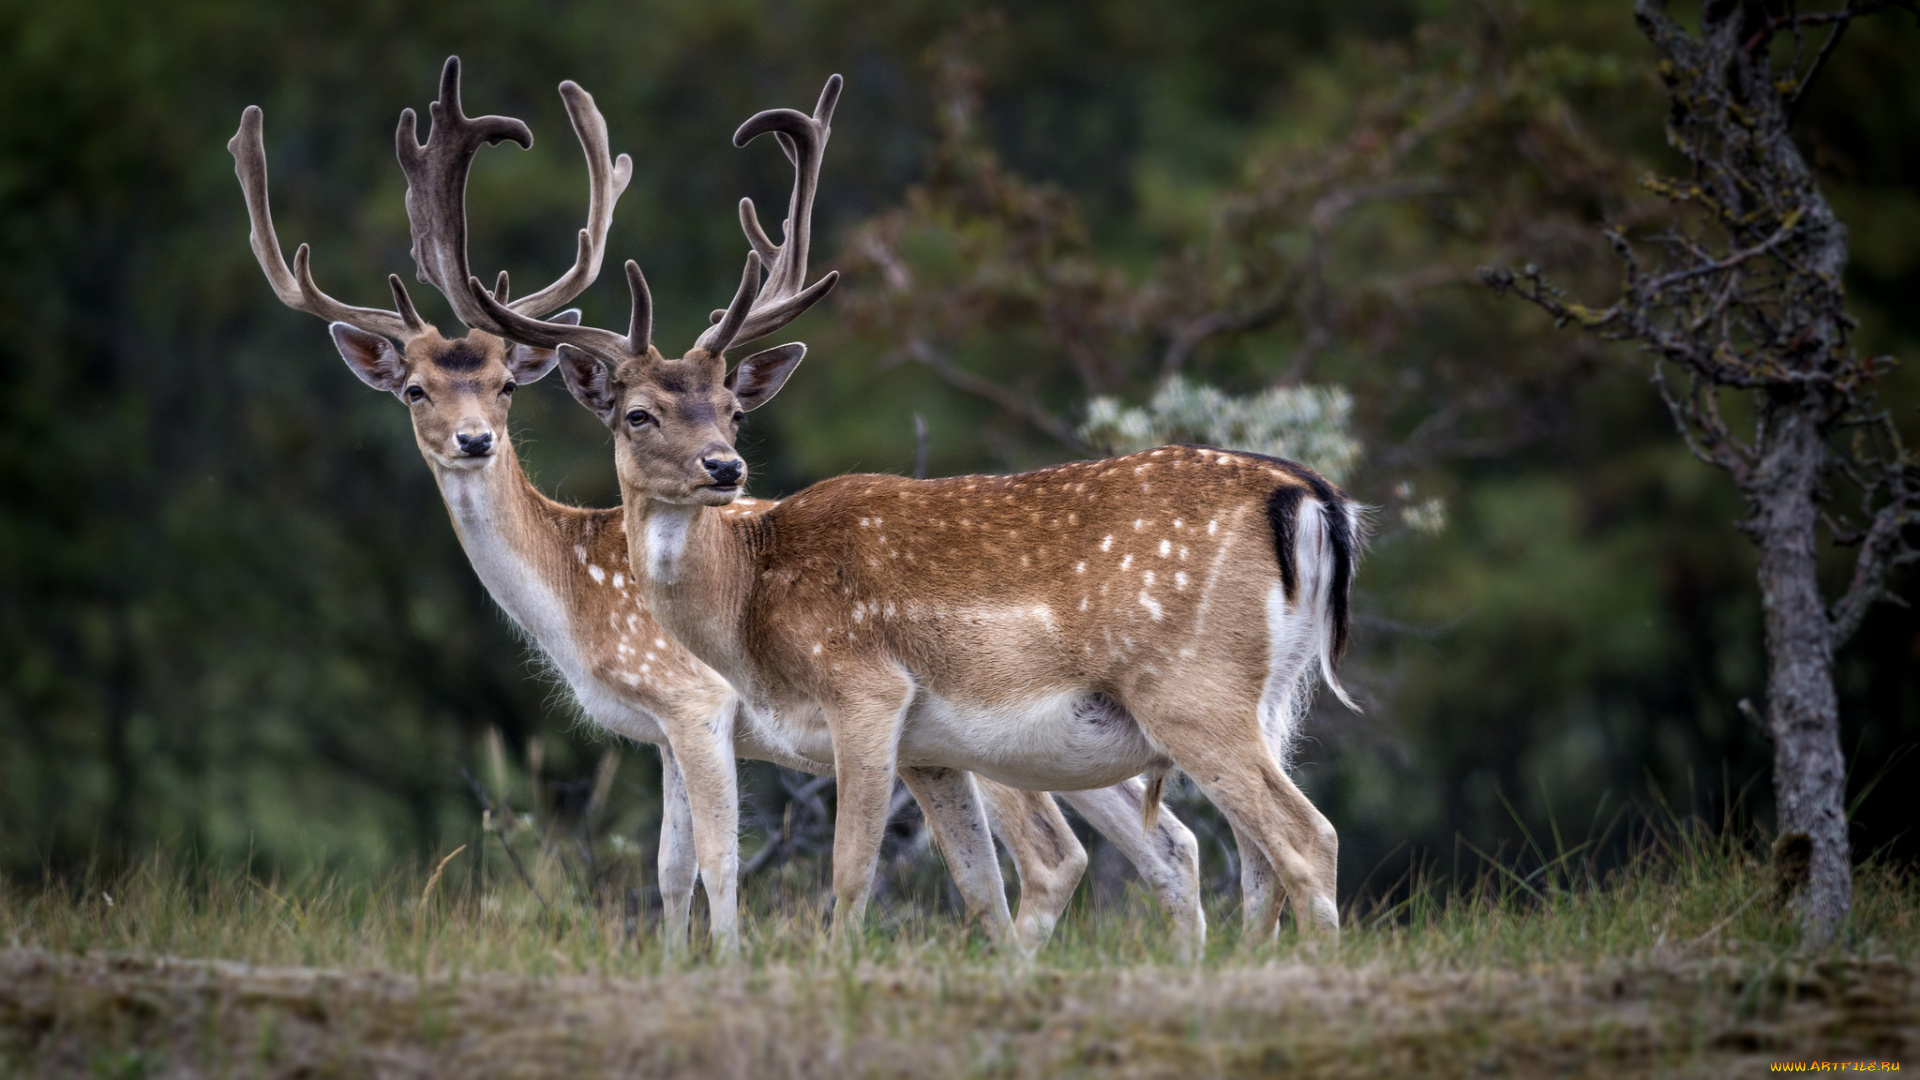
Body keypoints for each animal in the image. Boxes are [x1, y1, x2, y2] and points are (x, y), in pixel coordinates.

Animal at [232, 56, 1205, 949]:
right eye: (416, 391)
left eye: (507, 385)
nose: (474, 441)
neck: (575, 598)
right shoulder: (662, 732)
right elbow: (668, 867)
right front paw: (670, 967)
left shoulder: (694, 702)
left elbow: (716, 860)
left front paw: (725, 963)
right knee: (1173, 840)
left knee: (1068, 850)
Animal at [464, 71, 1367, 945]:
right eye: (638, 414)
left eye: (731, 408)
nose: (725, 467)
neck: (750, 606)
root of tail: (1309, 497)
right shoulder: (930, 748)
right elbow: (977, 886)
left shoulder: (861, 691)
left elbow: (847, 872)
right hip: (1264, 701)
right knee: (1248, 859)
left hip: (1191, 688)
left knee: (1305, 838)